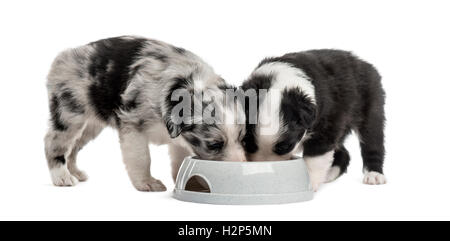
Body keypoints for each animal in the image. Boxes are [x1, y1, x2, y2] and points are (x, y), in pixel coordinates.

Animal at [45, 35, 246, 191]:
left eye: (243, 140)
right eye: (214, 145)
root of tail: (64, 55)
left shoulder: (180, 139)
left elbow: (179, 160)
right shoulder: (133, 125)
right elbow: (141, 158)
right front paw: (147, 183)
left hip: (91, 125)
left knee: (73, 147)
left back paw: (75, 172)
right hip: (70, 113)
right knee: (54, 142)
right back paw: (62, 177)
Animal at [243, 50, 386, 191]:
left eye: (285, 147)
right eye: (248, 144)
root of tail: (361, 61)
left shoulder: (325, 128)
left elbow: (314, 159)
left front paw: (310, 183)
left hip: (371, 107)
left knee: (372, 142)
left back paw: (374, 174)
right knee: (344, 153)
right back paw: (330, 174)